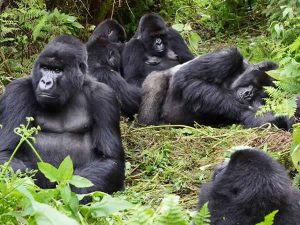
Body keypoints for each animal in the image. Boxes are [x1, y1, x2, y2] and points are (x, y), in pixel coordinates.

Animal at [0, 34, 125, 195]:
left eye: (57, 70)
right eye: (45, 68)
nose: (45, 82)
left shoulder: (105, 96)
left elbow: (110, 158)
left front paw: (70, 192)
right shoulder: (16, 92)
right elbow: (6, 153)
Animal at [139, 47, 290, 129]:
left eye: (260, 92)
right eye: (255, 83)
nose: (248, 94)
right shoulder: (228, 57)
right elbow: (187, 79)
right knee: (156, 83)